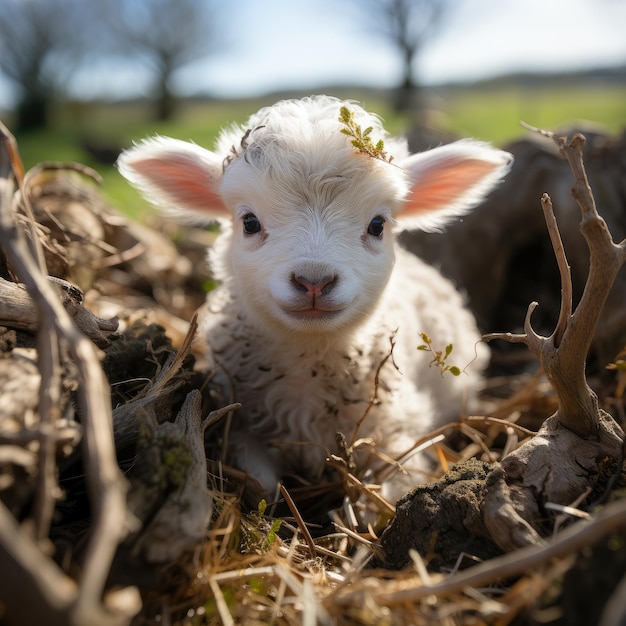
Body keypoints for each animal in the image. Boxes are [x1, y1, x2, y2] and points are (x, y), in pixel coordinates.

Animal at [118, 94, 512, 502]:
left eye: (377, 225)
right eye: (249, 222)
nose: (314, 281)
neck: (309, 359)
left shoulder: (399, 431)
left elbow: (392, 490)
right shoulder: (240, 423)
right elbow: (262, 484)